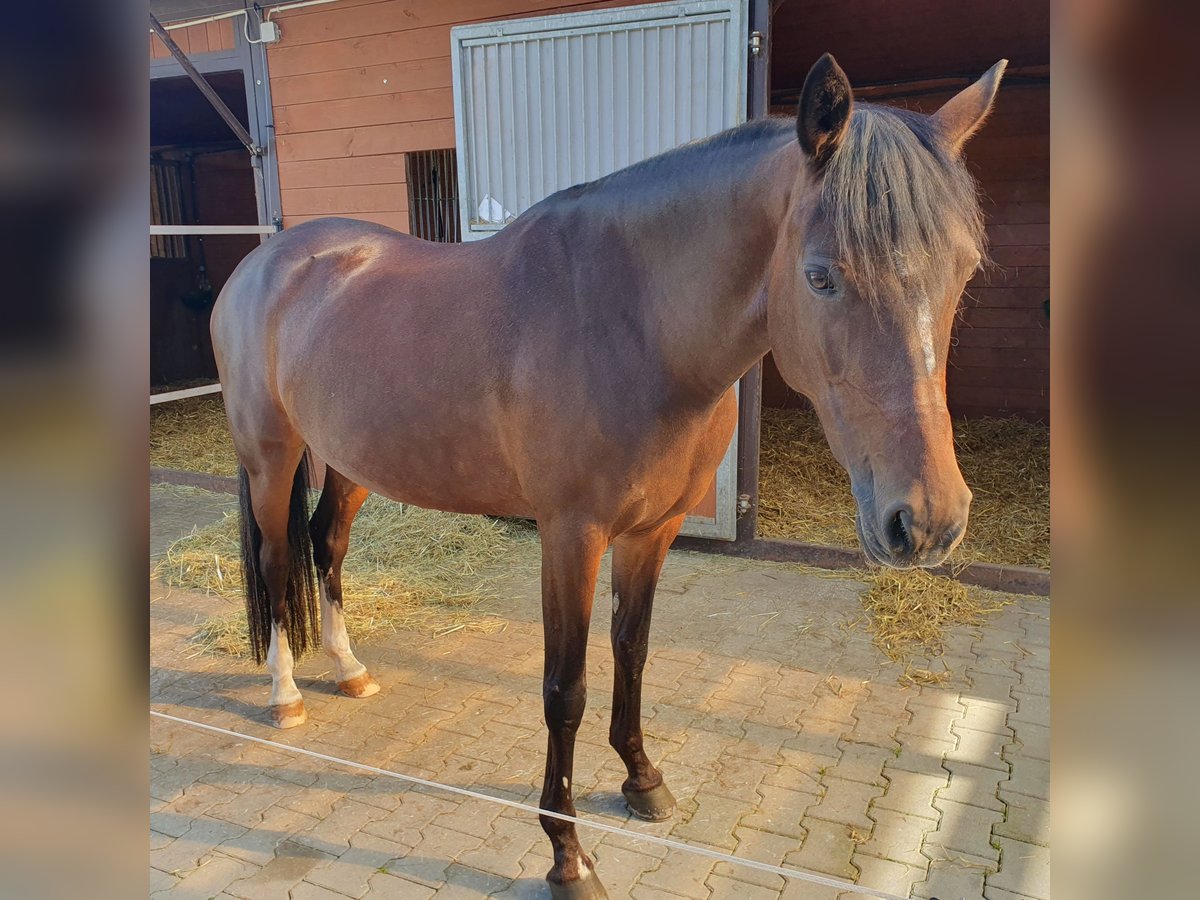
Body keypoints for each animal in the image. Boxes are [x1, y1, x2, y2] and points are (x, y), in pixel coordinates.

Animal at [213, 54, 1003, 897]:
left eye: (963, 271)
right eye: (822, 276)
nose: (928, 520)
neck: (633, 324)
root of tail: (264, 262)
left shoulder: (652, 531)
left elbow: (633, 650)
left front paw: (642, 778)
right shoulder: (570, 536)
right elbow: (566, 690)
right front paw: (567, 854)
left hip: (349, 458)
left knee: (326, 546)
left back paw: (349, 667)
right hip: (272, 455)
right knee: (276, 558)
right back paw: (285, 692)